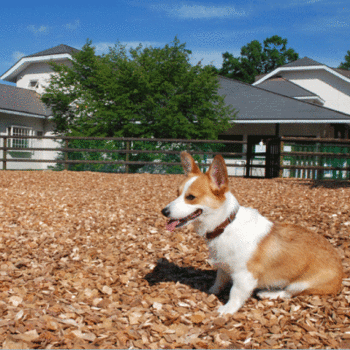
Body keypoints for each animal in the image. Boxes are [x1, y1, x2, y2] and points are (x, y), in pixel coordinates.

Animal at [163, 152, 344, 316]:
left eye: (190, 197)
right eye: (177, 193)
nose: (163, 211)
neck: (226, 226)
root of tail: (341, 275)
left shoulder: (244, 276)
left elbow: (235, 293)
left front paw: (227, 309)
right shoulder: (224, 266)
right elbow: (219, 280)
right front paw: (212, 291)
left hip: (301, 284)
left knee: (287, 293)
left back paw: (268, 293)